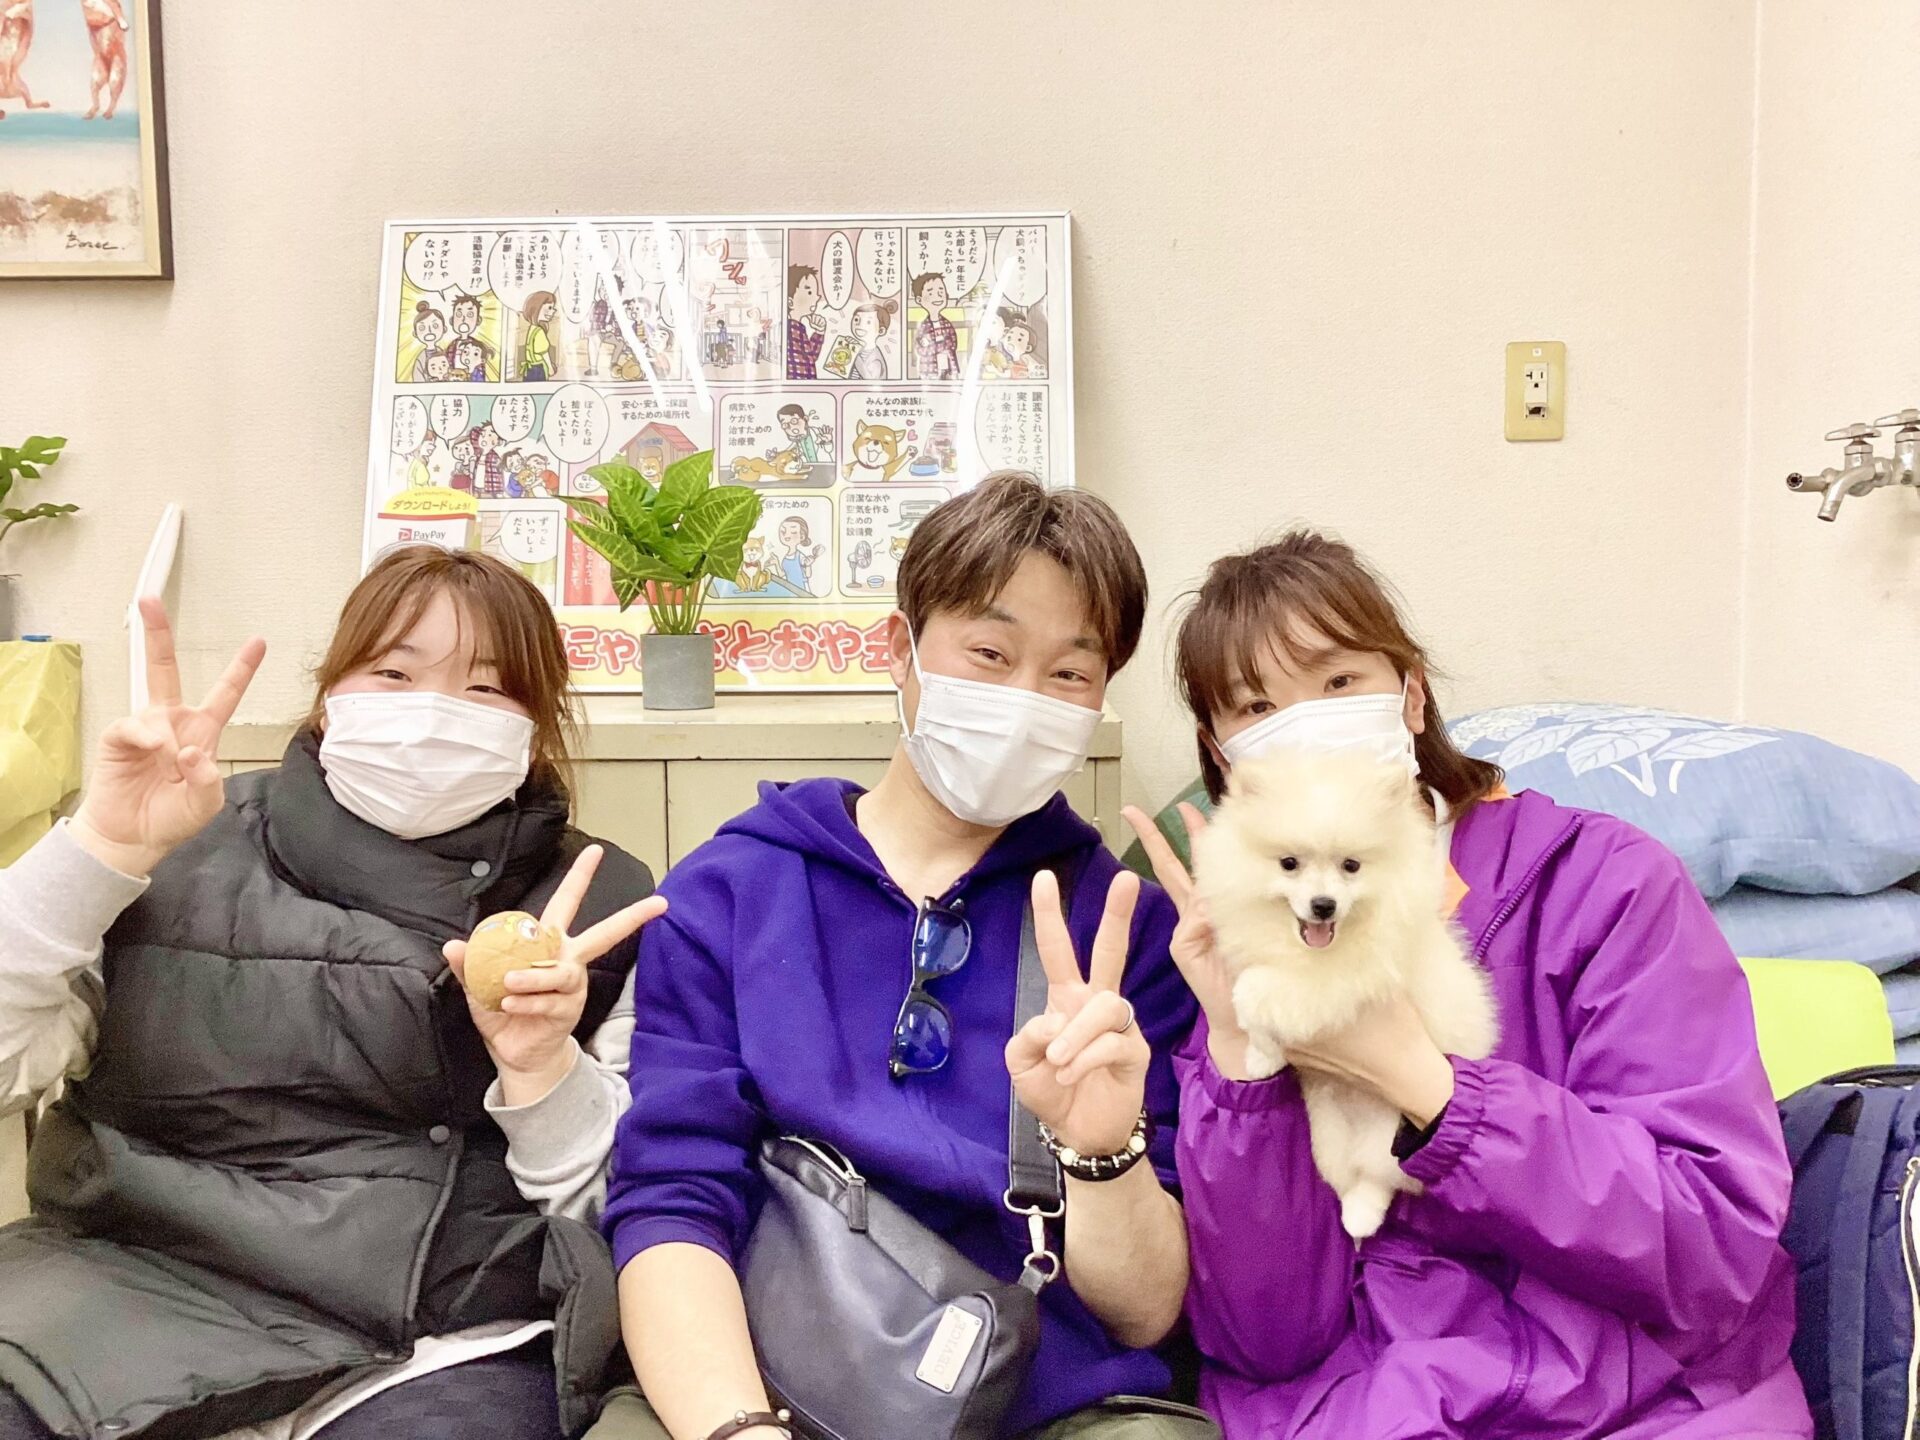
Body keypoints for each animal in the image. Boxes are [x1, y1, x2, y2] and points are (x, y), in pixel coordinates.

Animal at [1193, 745, 1498, 1239]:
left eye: (1351, 866)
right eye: (1289, 864)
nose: (1323, 905)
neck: (1305, 951)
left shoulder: (1343, 982)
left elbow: (1254, 991)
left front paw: (1255, 1029)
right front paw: (1262, 1058)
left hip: (1388, 1135)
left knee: (1383, 1176)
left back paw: (1360, 1218)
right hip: (1329, 1133)